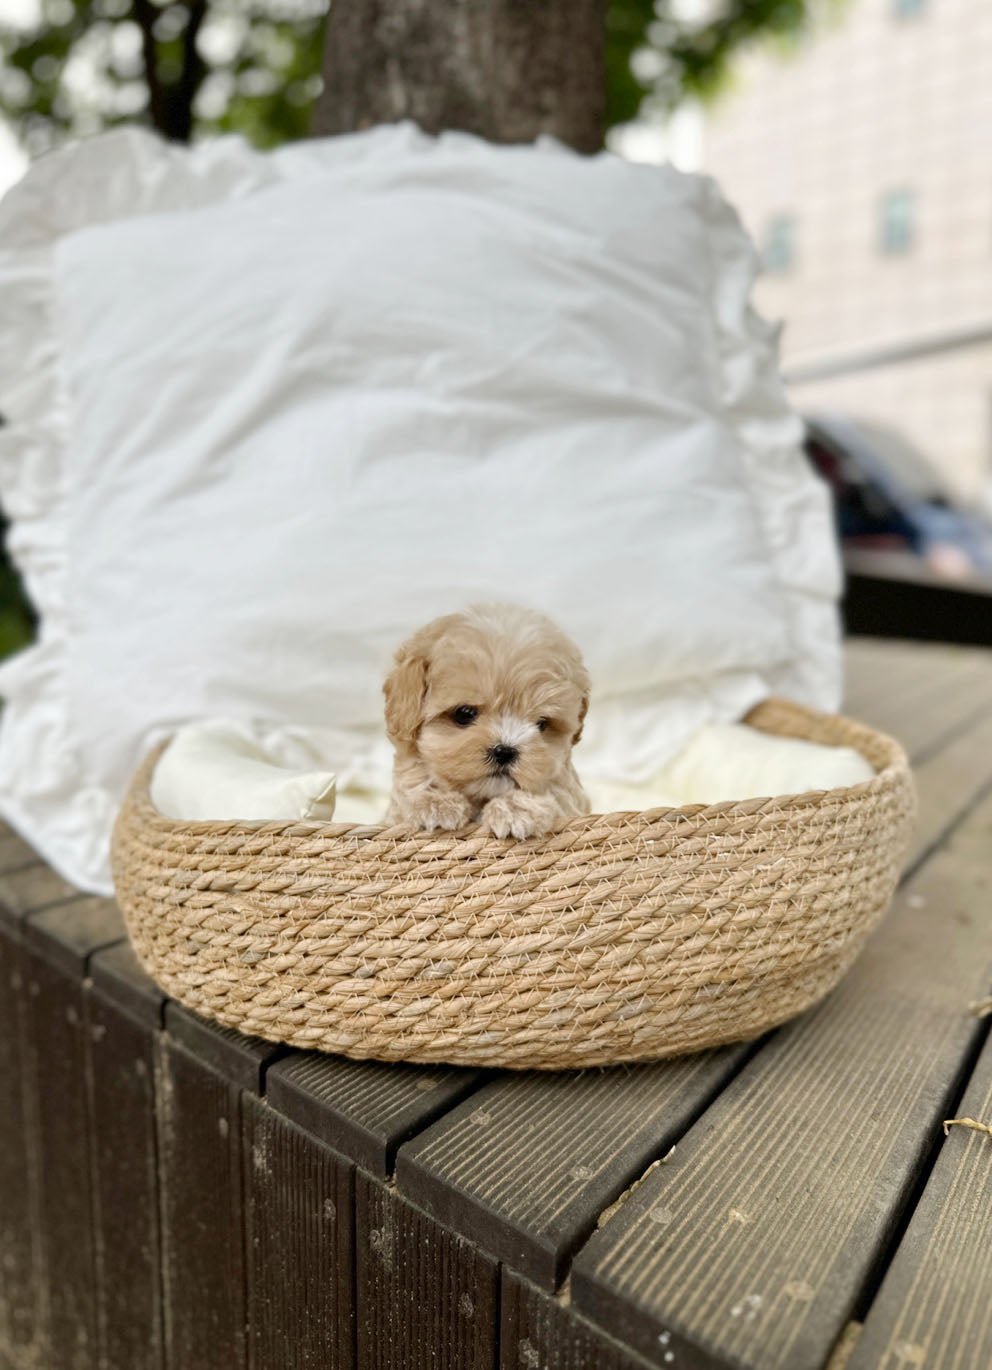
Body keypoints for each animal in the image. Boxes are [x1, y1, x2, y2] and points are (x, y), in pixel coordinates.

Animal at [383, 605, 591, 838]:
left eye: (542, 724)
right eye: (464, 713)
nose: (505, 751)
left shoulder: (570, 794)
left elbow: (554, 792)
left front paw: (513, 809)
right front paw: (436, 803)